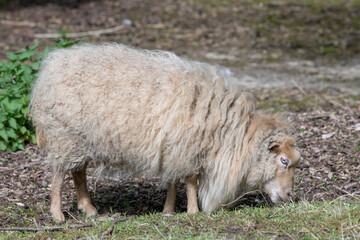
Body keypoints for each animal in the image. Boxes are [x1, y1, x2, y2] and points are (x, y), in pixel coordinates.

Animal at [30, 43, 300, 221]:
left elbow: (173, 181)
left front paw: (169, 210)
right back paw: (57, 214)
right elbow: (190, 181)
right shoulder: (186, 147)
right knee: (58, 176)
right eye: (283, 161)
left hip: (79, 140)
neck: (229, 131)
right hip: (63, 136)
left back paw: (88, 209)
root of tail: (51, 66)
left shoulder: (174, 147)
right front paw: (193, 211)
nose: (289, 196)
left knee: (78, 172)